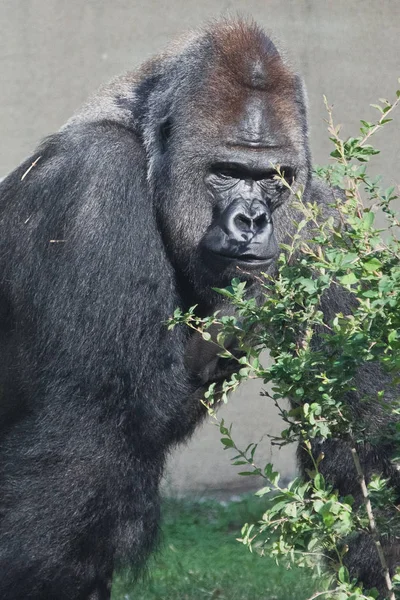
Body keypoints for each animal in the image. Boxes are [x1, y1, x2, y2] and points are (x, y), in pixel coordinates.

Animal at [0, 18, 396, 600]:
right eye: (225, 171)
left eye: (274, 178)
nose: (252, 220)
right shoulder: (95, 185)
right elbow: (87, 434)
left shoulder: (320, 223)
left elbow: (365, 438)